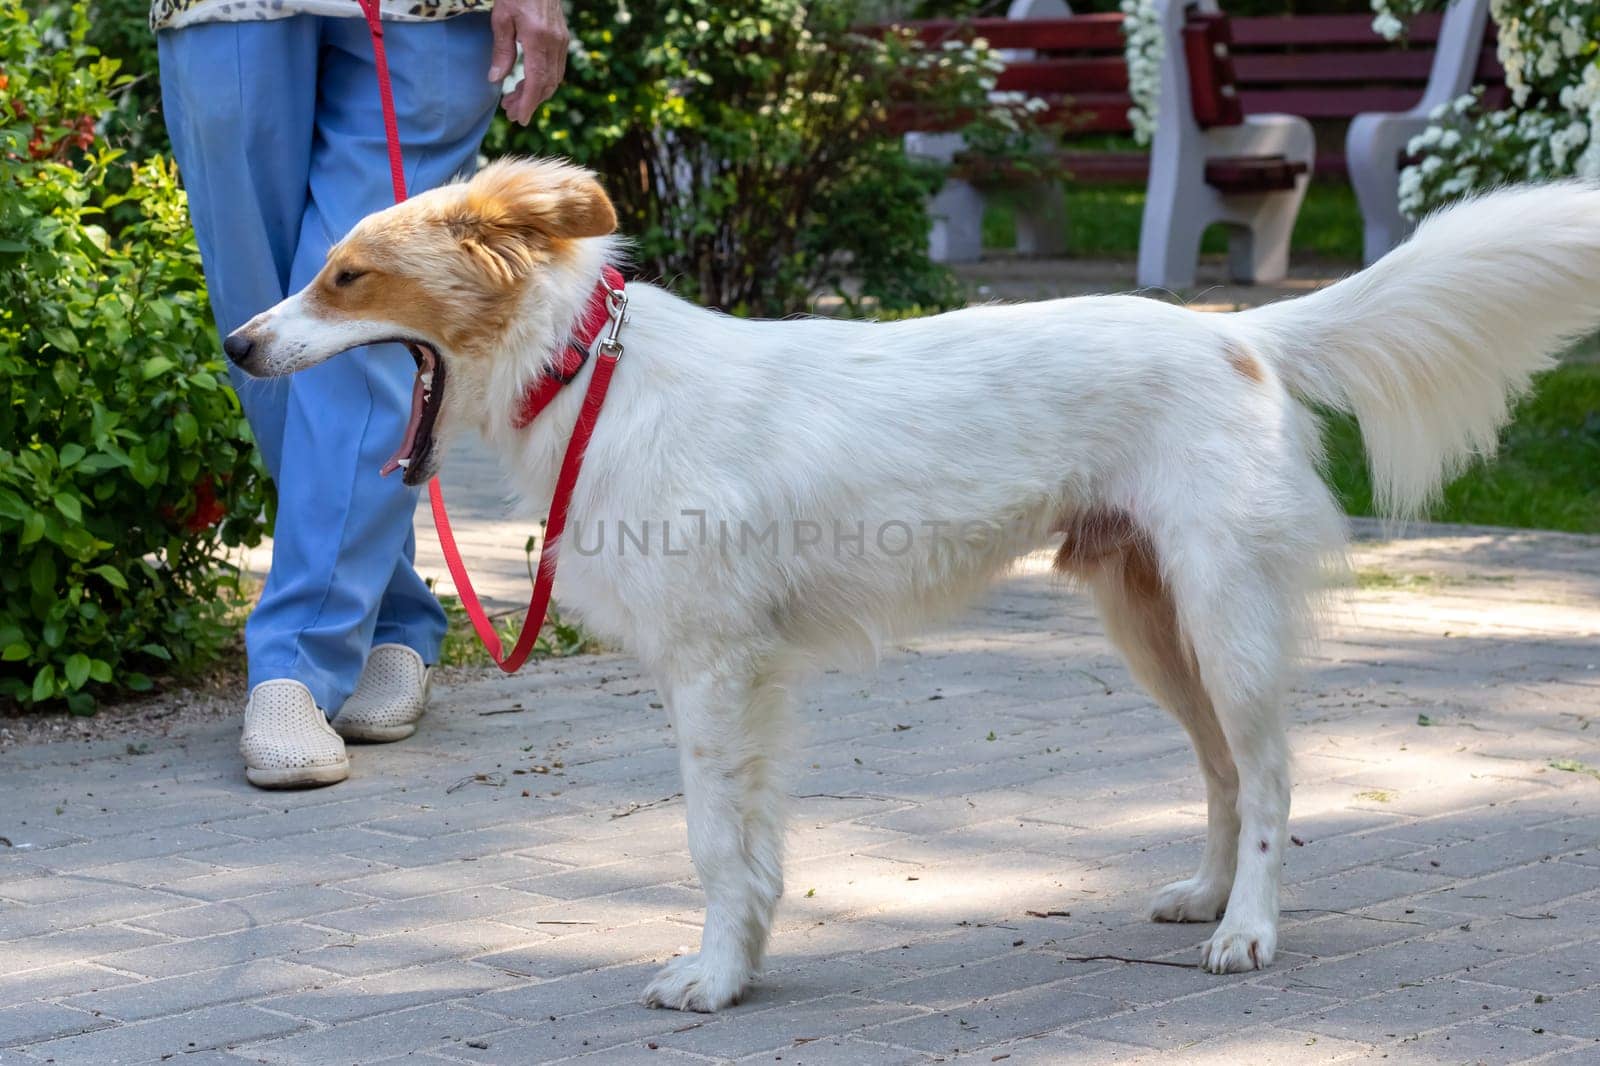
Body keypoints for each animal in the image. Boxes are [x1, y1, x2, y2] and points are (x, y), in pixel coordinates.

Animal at [222, 161, 1600, 1011]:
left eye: (343, 276)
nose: (235, 342)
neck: (592, 377)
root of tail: (1237, 334)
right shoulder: (744, 684)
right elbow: (751, 845)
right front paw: (744, 964)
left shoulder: (716, 673)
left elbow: (713, 843)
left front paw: (713, 978)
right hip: (1153, 622)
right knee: (1219, 771)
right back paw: (1205, 896)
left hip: (1224, 618)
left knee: (1265, 777)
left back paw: (1247, 926)